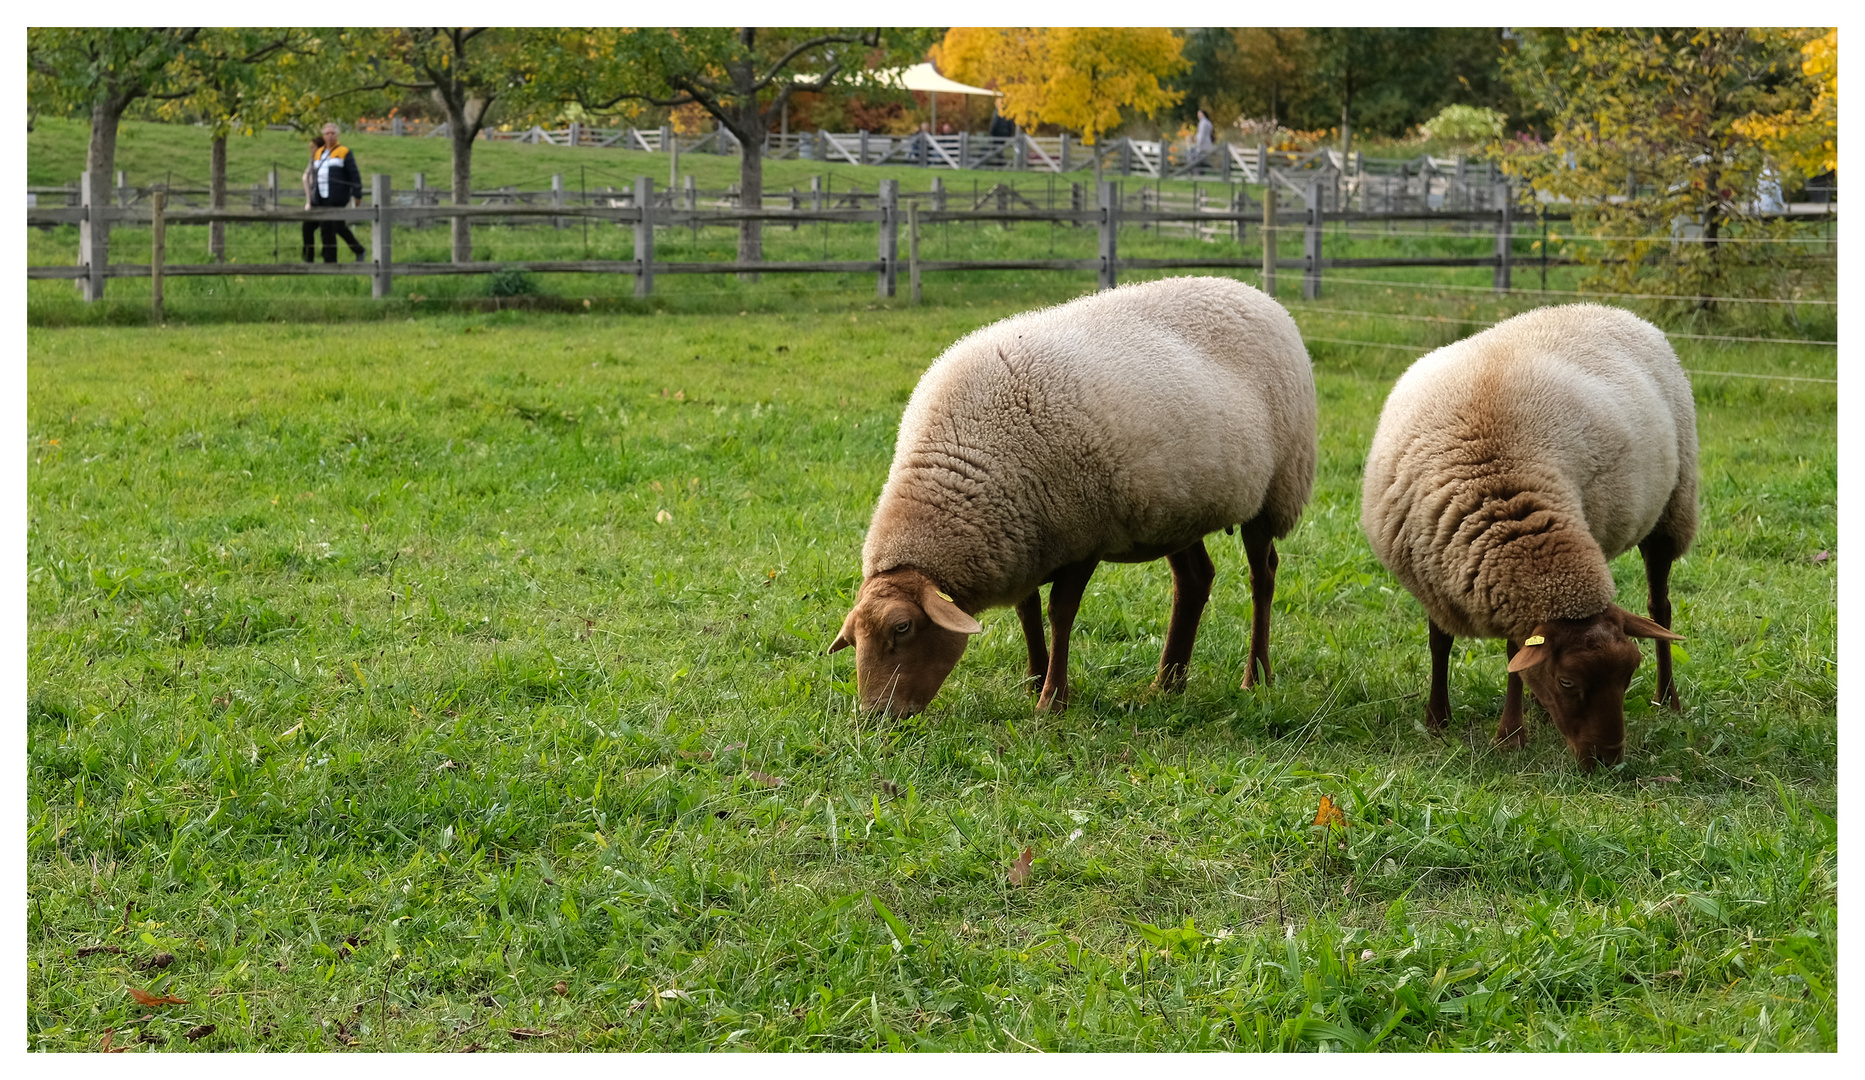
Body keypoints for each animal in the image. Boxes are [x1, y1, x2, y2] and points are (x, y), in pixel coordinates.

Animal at [824, 276, 1320, 720]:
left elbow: (1059, 614)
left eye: (902, 628)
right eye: (854, 638)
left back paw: (1256, 677)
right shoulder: (1024, 537)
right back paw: (1167, 683)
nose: (875, 716)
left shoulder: (1084, 535)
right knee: (1195, 580)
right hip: (1176, 510)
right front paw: (1034, 679)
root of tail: (1254, 292)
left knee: (1262, 576)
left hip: (1276, 488)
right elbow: (1027, 613)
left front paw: (1052, 700)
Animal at [1365, 302, 1700, 768]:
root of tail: (1612, 309)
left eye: (1630, 671)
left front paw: (1509, 735)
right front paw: (1438, 719)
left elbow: (1513, 655)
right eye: (1567, 682)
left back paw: (1667, 699)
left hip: (1672, 510)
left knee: (1660, 608)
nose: (1608, 759)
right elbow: (1440, 642)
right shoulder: (1437, 572)